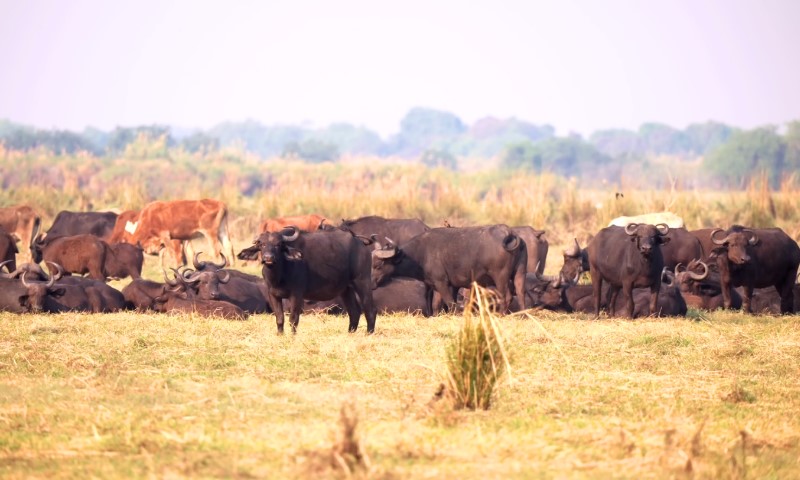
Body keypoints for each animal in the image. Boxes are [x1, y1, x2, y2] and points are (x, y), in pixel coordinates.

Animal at [238, 226, 377, 334]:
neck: (279, 275)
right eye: (262, 244)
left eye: (278, 245)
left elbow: (293, 319)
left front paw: (292, 336)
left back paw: (369, 333)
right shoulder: (273, 295)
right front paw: (280, 335)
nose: (268, 258)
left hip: (362, 281)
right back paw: (350, 333)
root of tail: (360, 243)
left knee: (370, 310)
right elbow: (280, 318)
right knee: (354, 312)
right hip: (346, 290)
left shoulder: (296, 295)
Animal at [371, 225, 527, 314]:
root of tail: (509, 232)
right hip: (520, 274)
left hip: (501, 276)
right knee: (520, 293)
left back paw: (500, 314)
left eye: (378, 265)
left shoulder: (442, 283)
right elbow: (436, 304)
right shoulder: (442, 285)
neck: (422, 253)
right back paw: (524, 314)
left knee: (506, 296)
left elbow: (450, 303)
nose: (372, 283)